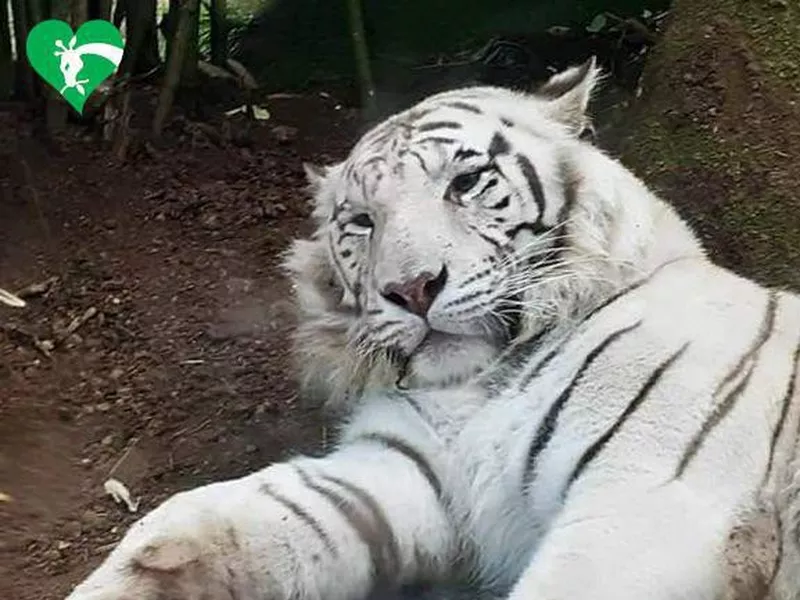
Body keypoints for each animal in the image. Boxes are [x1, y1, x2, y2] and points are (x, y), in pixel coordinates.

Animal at [64, 57, 800, 600]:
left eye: (466, 182)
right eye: (362, 221)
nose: (413, 288)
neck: (484, 380)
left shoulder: (653, 497)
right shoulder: (401, 467)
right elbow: (193, 523)